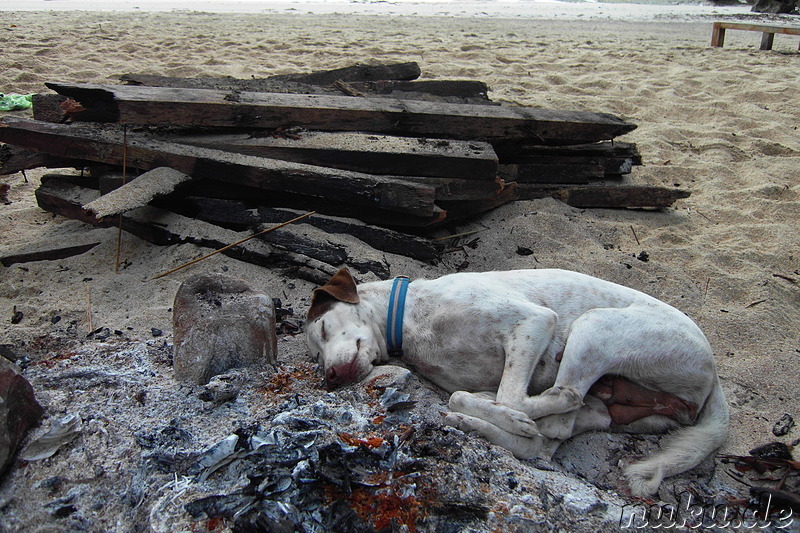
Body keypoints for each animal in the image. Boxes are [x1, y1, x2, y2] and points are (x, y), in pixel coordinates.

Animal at [308, 268, 732, 496]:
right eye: (315, 356)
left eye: (325, 329)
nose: (330, 377)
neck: (409, 319)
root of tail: (712, 373)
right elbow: (466, 395)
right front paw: (490, 415)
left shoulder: (535, 322)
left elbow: (511, 397)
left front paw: (511, 416)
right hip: (614, 404)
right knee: (546, 440)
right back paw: (473, 422)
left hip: (595, 325)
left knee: (563, 404)